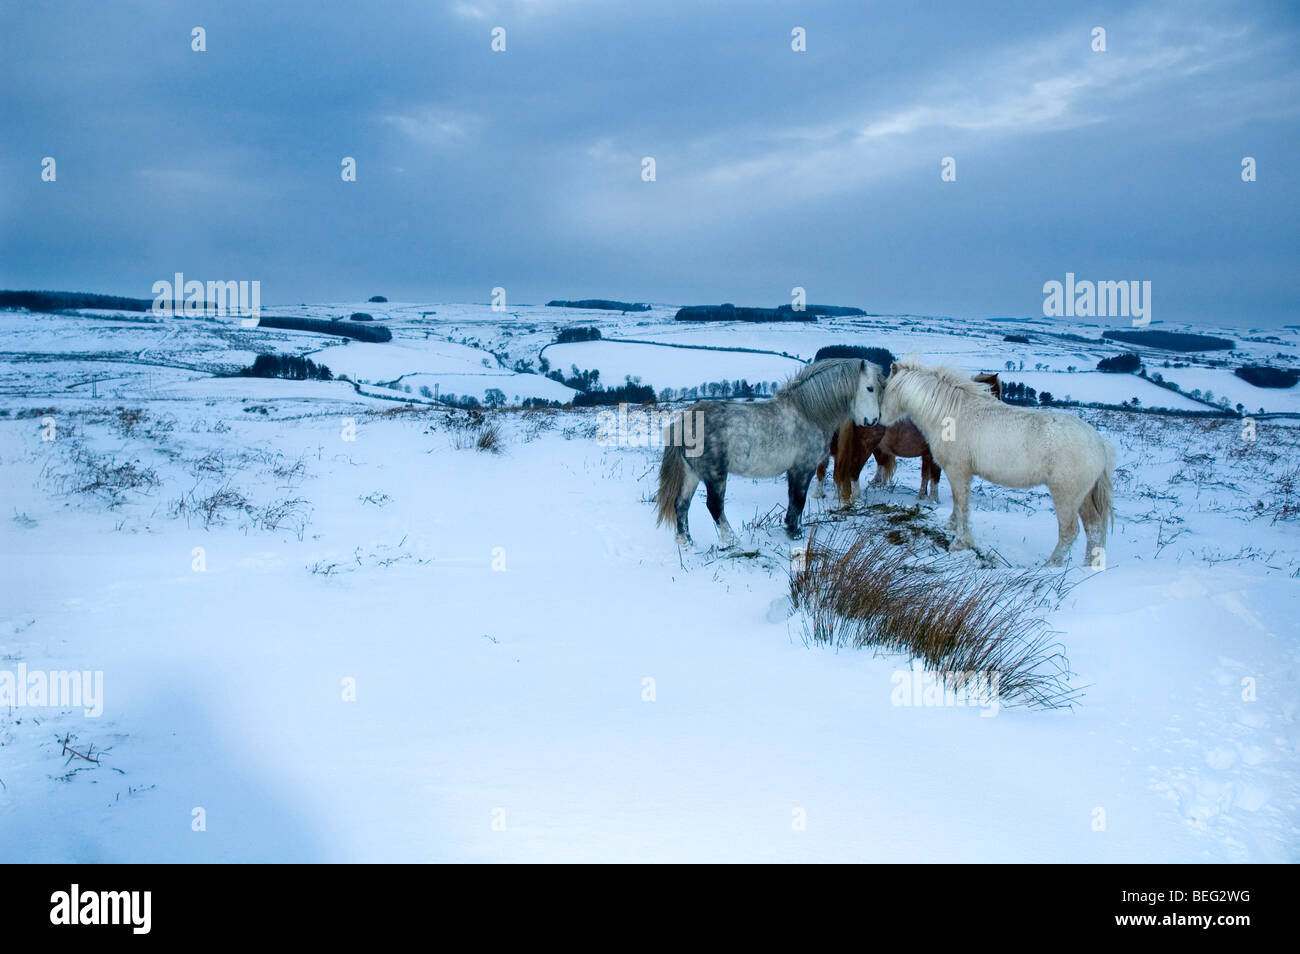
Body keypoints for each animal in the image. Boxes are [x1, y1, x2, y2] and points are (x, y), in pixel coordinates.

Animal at [811, 371, 1003, 509]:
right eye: (996, 391)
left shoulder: (926, 454)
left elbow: (925, 474)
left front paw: (921, 495)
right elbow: (935, 476)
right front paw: (934, 499)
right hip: (865, 446)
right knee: (852, 470)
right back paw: (856, 497)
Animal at [883, 361, 1118, 564]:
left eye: (886, 389)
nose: (880, 420)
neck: (952, 414)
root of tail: (1099, 443)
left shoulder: (958, 472)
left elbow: (962, 504)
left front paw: (960, 542)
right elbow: (959, 505)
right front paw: (952, 526)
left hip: (1066, 496)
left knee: (1070, 532)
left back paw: (1050, 565)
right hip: (1085, 498)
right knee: (1094, 528)